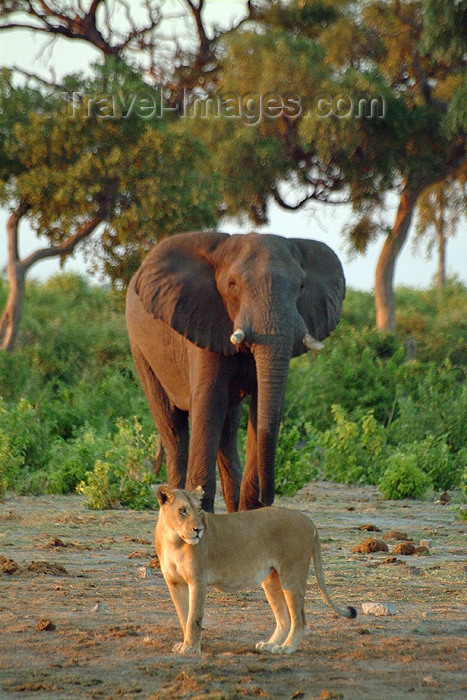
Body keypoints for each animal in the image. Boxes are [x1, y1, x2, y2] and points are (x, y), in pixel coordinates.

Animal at [126, 232, 346, 512]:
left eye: (300, 287)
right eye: (232, 285)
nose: (268, 498)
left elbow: (261, 406)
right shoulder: (203, 322)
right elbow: (209, 404)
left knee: (228, 431)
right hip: (140, 349)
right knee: (174, 429)